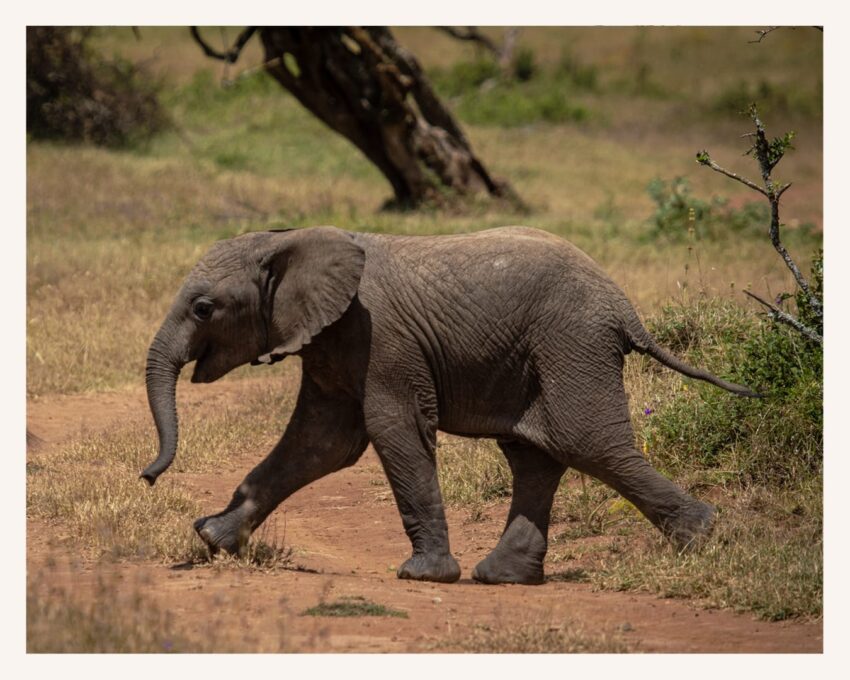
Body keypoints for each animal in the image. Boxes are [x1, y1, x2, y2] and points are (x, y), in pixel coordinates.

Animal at [141, 226, 758, 585]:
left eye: (203, 308)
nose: (148, 476)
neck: (290, 238)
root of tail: (626, 309)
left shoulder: (382, 337)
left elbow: (392, 429)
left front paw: (423, 576)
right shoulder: (331, 339)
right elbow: (321, 444)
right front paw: (213, 538)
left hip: (572, 342)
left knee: (589, 443)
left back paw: (701, 538)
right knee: (536, 455)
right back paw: (502, 578)